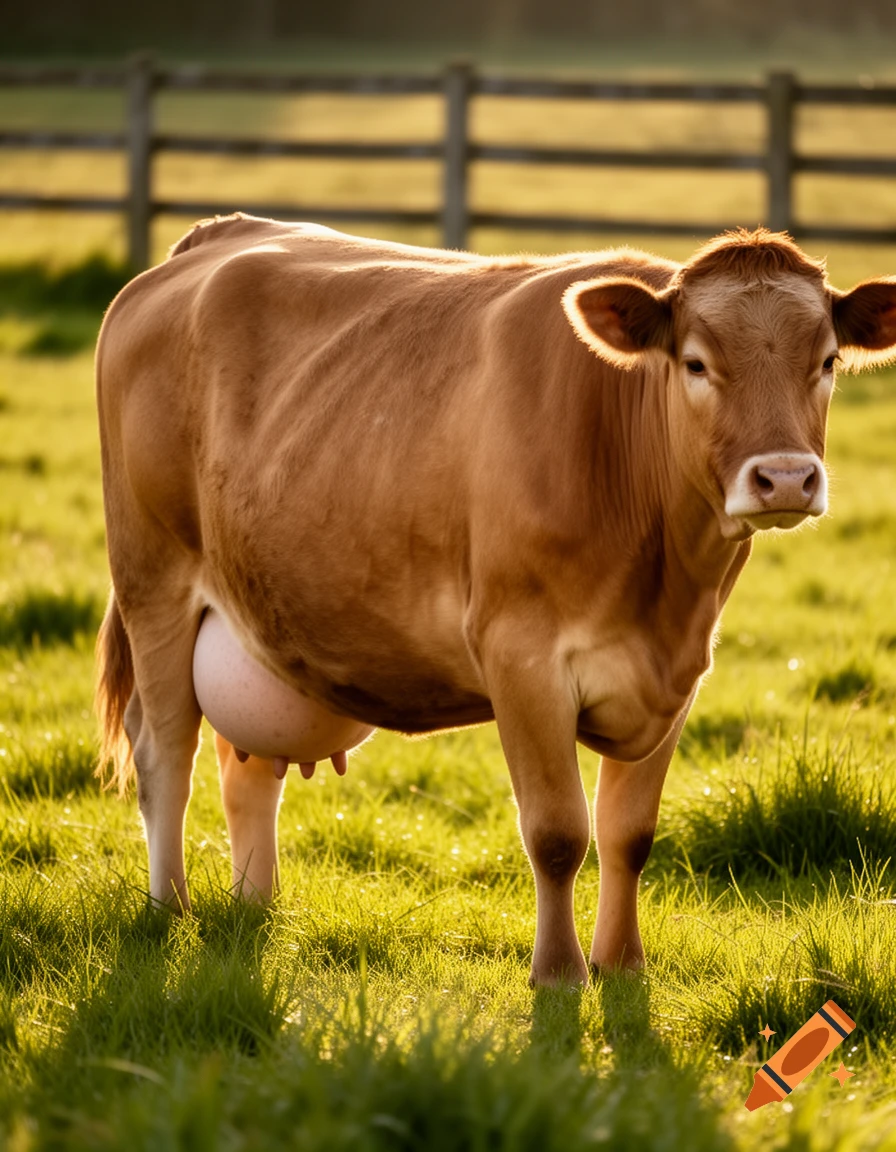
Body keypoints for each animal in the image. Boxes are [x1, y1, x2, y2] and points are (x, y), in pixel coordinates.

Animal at [94, 214, 896, 986]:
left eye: (827, 362)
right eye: (696, 362)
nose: (785, 478)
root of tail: (215, 238)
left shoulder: (678, 674)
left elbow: (629, 834)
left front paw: (622, 965)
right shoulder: (521, 657)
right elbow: (558, 833)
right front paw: (560, 974)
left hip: (256, 619)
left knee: (247, 769)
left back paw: (253, 906)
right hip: (153, 581)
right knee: (165, 751)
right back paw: (170, 910)